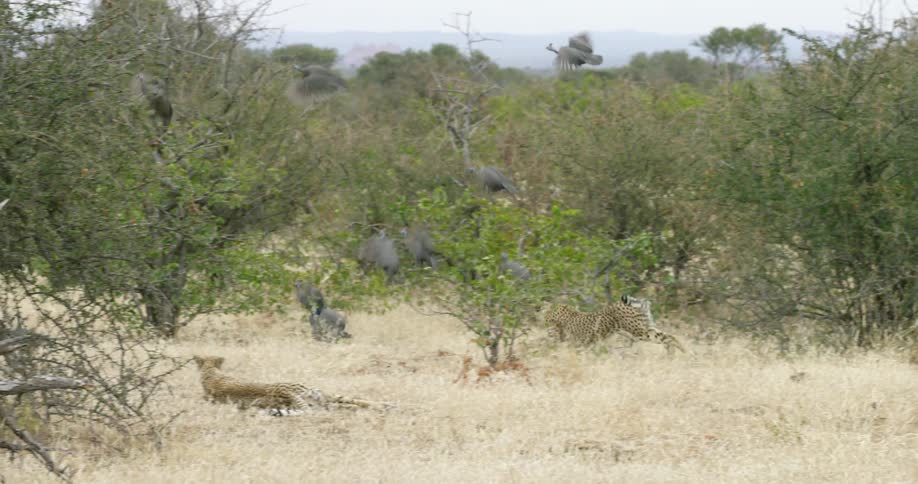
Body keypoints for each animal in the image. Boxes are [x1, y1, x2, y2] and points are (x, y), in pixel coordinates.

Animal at [192, 355, 387, 416]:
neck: (210, 373)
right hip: (322, 399)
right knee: (347, 403)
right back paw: (385, 405)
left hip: (320, 397)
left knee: (352, 401)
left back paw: (386, 404)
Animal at [545, 295, 685, 354]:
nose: (547, 331)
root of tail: (640, 302)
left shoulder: (578, 343)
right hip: (645, 328)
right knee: (669, 337)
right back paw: (675, 354)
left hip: (639, 332)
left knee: (668, 338)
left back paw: (683, 353)